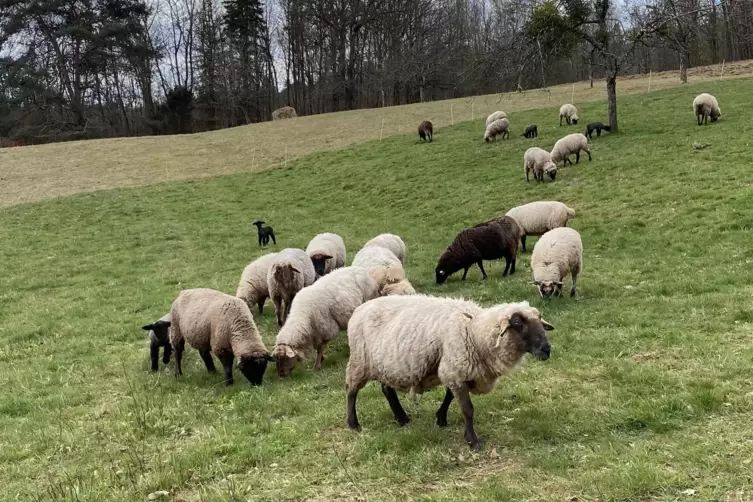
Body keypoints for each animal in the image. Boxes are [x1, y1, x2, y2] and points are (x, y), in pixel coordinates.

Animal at [345, 295, 554, 449]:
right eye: (517, 322)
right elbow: (467, 409)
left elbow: (449, 396)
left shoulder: (455, 369)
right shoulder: (455, 369)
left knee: (387, 389)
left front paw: (441, 419)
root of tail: (360, 308)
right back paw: (353, 424)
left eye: (540, 320)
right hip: (360, 361)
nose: (546, 350)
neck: (474, 331)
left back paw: (402, 418)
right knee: (351, 390)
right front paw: (473, 441)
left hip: (386, 363)